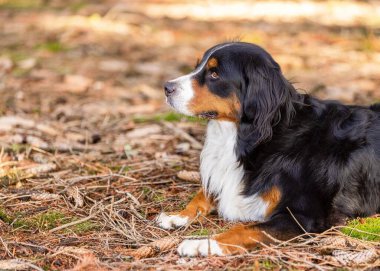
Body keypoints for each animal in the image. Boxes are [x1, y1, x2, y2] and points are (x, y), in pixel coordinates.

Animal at [155, 42, 380, 258]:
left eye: (214, 74)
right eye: (197, 67)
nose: (167, 87)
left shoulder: (303, 216)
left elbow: (245, 229)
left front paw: (203, 244)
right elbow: (203, 193)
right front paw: (178, 216)